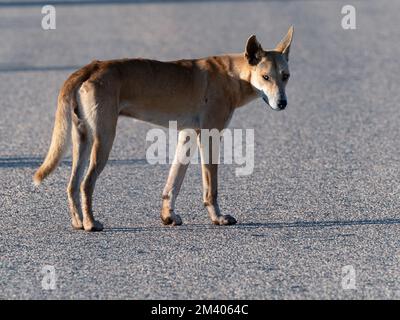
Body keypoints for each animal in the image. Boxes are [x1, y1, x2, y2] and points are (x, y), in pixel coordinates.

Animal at [33, 26, 294, 231]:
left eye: (286, 76)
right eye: (266, 77)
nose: (282, 103)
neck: (233, 75)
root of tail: (90, 67)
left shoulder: (187, 135)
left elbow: (173, 182)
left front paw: (168, 216)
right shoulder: (210, 136)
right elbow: (211, 186)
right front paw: (218, 218)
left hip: (83, 138)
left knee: (72, 185)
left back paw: (78, 222)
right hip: (104, 138)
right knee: (86, 184)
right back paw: (90, 224)